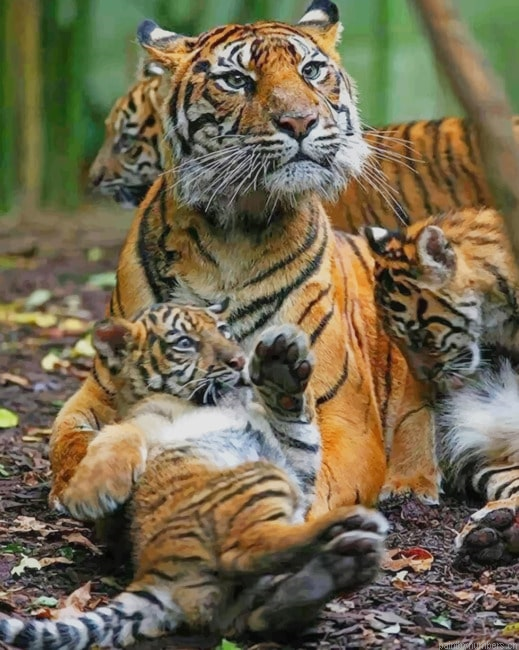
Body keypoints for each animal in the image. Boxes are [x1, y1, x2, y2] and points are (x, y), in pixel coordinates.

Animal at [0, 304, 388, 649]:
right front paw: (87, 495)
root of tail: (157, 577)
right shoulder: (146, 420)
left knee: (264, 612)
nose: (238, 361)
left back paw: (339, 565)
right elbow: (118, 434)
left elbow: (296, 423)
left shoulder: (296, 465)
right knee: (244, 550)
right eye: (185, 342)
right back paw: (347, 532)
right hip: (259, 479)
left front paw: (281, 365)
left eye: (224, 330)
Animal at [51, 0, 441, 547]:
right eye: (236, 80)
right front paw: (85, 488)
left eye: (311, 71)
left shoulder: (345, 416)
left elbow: (315, 477)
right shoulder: (96, 391)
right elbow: (67, 442)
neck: (233, 234)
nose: (300, 121)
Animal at [364, 207, 519, 565]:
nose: (425, 376)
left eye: (420, 336)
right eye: (397, 339)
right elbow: (414, 416)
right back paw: (496, 532)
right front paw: (408, 483)